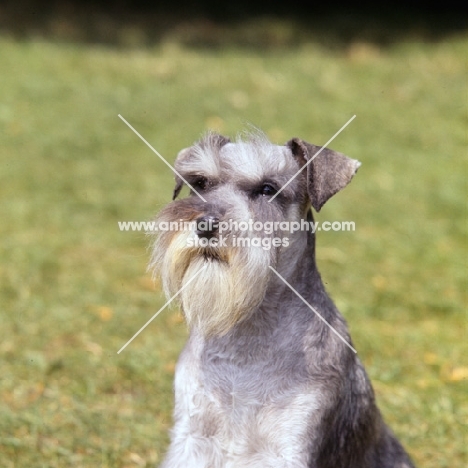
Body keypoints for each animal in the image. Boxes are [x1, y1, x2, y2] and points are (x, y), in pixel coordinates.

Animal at [148, 130, 414, 466]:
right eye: (201, 182)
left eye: (267, 189)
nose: (205, 224)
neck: (245, 343)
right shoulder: (193, 439)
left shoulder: (286, 448)